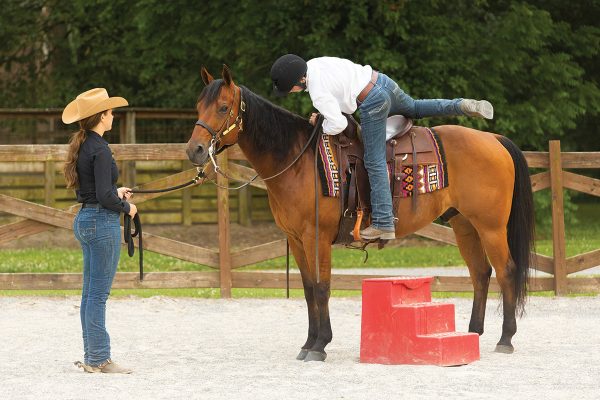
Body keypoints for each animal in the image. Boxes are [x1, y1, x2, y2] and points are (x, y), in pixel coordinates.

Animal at [186, 65, 536, 362]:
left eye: (222, 107)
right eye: (198, 107)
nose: (195, 150)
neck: (298, 160)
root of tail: (494, 139)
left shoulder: (316, 237)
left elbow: (322, 287)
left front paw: (320, 345)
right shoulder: (295, 240)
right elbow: (308, 289)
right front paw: (308, 343)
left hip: (491, 227)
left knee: (506, 271)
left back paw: (505, 339)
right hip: (464, 225)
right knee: (480, 273)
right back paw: (472, 333)